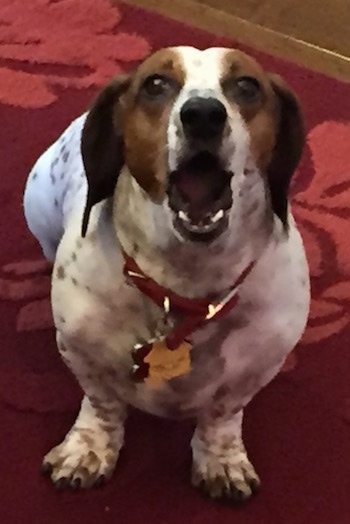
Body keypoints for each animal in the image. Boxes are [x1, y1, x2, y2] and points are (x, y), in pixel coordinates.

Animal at [23, 47, 308, 502]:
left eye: (247, 86)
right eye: (155, 84)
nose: (203, 114)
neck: (186, 281)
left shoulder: (256, 369)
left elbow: (223, 415)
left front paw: (221, 460)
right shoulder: (79, 351)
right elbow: (102, 404)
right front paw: (87, 448)